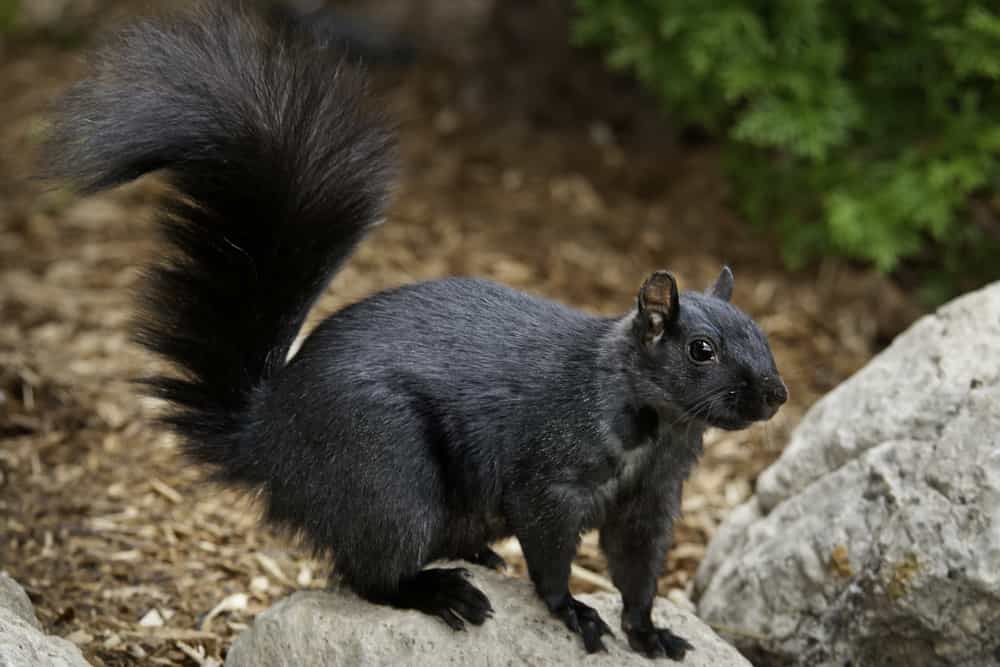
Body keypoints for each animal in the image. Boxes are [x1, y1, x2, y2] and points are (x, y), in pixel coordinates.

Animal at [48, 3, 788, 664]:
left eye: (762, 335)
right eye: (701, 350)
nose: (776, 395)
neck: (655, 425)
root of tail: (267, 438)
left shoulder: (651, 502)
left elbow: (637, 570)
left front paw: (648, 628)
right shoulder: (551, 477)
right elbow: (550, 553)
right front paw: (572, 608)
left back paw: (474, 556)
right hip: (388, 472)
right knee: (369, 574)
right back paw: (437, 592)